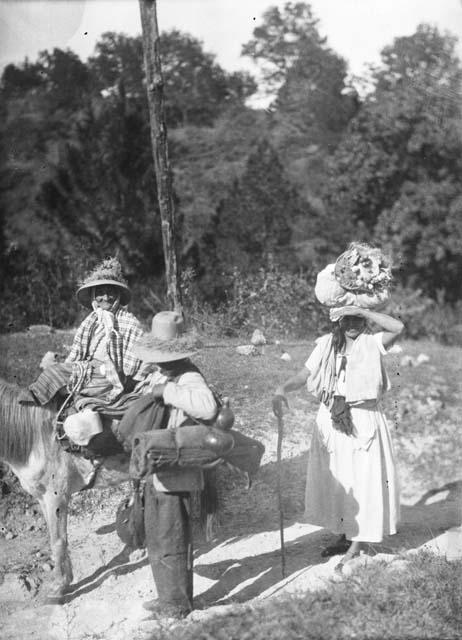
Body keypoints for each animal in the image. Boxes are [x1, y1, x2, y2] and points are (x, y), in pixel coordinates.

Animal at [0, 380, 130, 604]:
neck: (37, 440)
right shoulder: (42, 499)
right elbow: (57, 539)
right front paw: (66, 579)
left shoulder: (56, 497)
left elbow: (58, 541)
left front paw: (59, 588)